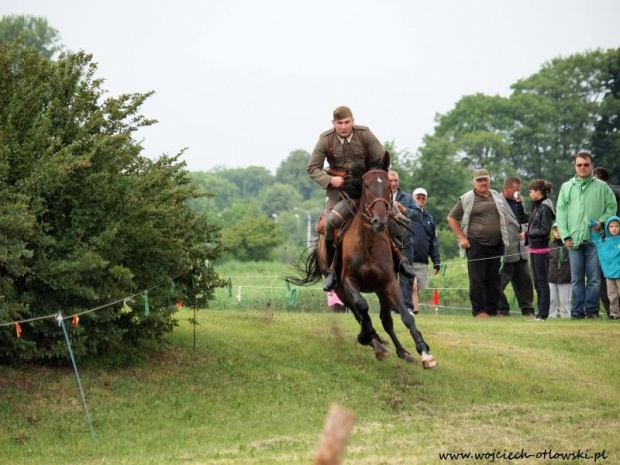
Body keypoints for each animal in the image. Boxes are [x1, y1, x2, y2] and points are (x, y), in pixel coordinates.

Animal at [290, 152, 436, 370]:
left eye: (388, 185)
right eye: (366, 185)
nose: (380, 221)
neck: (368, 245)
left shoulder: (388, 283)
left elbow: (405, 316)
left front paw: (424, 352)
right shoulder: (349, 283)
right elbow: (363, 307)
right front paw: (368, 337)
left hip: (379, 290)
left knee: (386, 320)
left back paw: (401, 351)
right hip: (339, 289)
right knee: (359, 313)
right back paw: (374, 341)